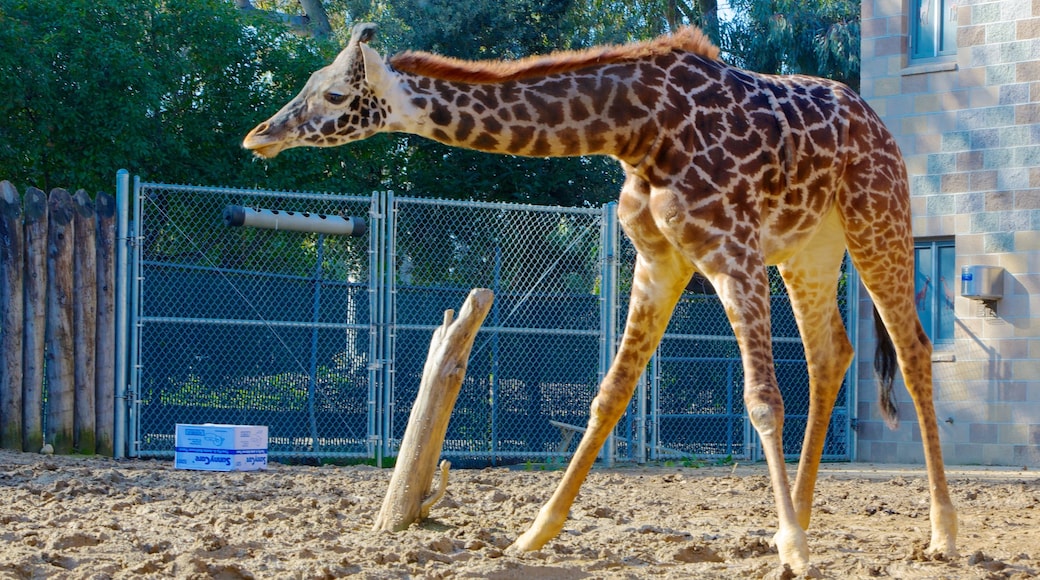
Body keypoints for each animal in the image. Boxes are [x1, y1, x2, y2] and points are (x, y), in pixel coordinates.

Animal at [243, 23, 956, 577]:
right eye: (308, 80)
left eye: (335, 93)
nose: (261, 136)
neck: (637, 129)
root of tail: (882, 127)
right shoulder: (659, 259)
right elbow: (609, 393)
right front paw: (534, 533)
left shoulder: (731, 248)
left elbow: (760, 398)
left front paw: (797, 554)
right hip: (810, 251)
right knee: (831, 353)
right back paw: (800, 519)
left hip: (878, 222)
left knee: (912, 349)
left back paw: (939, 534)